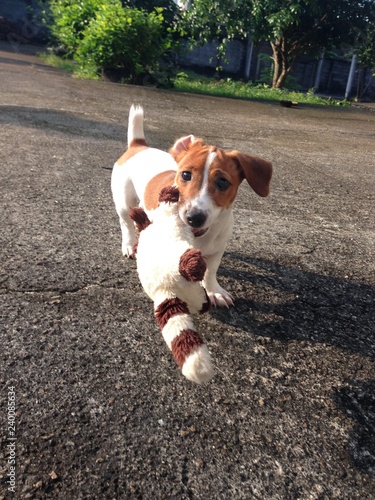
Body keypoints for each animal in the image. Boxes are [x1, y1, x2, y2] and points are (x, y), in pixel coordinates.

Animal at [111, 105, 274, 306]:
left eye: (222, 182)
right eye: (186, 175)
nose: (194, 218)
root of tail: (139, 145)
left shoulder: (217, 250)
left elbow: (210, 272)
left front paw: (214, 291)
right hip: (124, 202)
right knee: (126, 223)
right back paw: (128, 244)